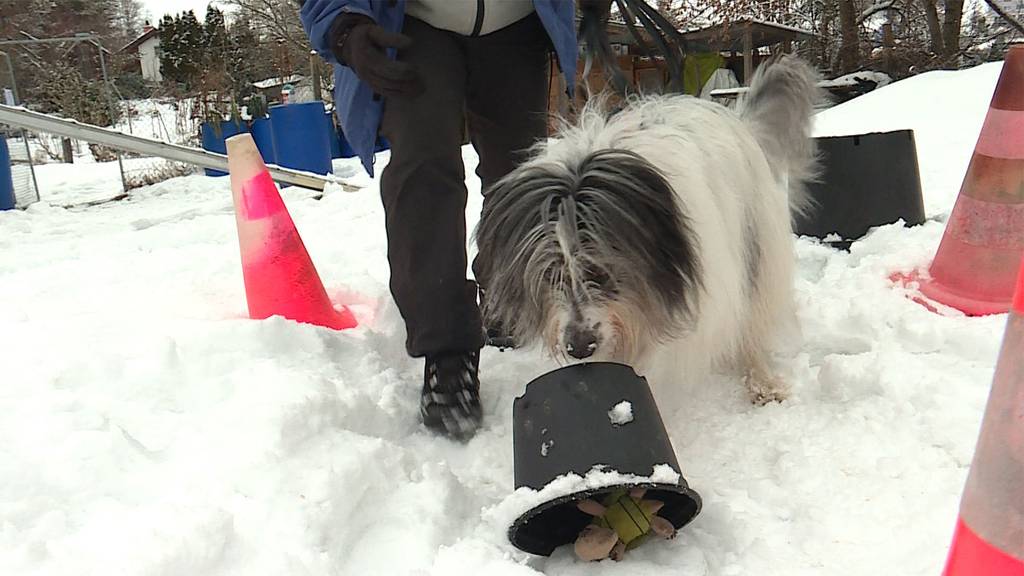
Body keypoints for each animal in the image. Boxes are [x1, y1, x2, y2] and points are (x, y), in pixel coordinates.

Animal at [473, 56, 823, 401]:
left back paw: (761, 378)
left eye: (602, 270)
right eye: (549, 275)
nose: (579, 348)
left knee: (753, 316)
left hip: (757, 244)